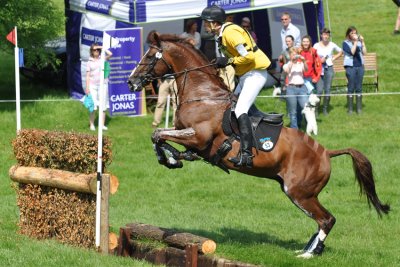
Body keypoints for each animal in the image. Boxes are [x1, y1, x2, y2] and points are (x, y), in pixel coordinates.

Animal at [127, 31, 388, 260]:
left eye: (149, 56)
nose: (131, 82)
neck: (202, 94)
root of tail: (326, 152)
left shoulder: (198, 137)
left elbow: (158, 134)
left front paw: (170, 158)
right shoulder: (190, 137)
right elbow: (159, 136)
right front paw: (174, 157)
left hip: (299, 193)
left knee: (327, 219)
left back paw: (309, 254)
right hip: (298, 192)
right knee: (321, 220)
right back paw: (307, 248)